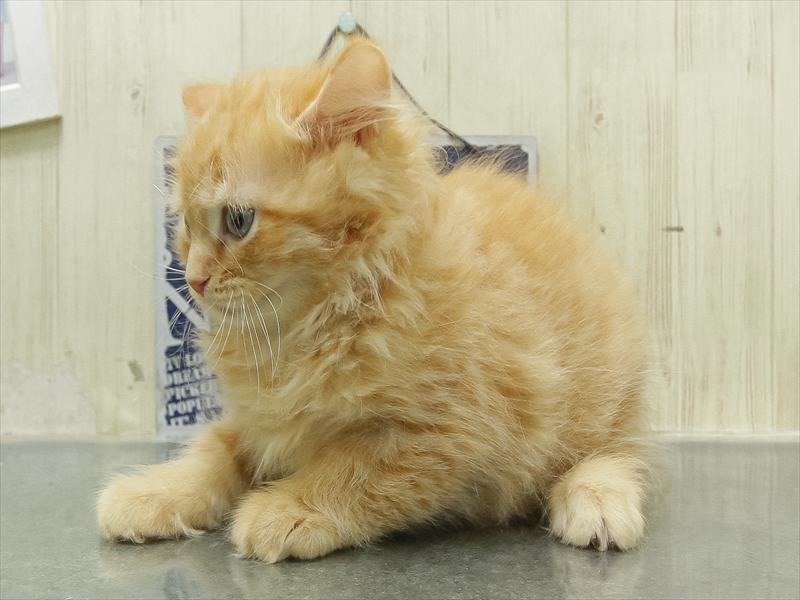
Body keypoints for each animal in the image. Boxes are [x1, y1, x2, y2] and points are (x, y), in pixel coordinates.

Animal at [97, 37, 654, 562]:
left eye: (238, 221)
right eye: (185, 227)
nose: (193, 280)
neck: (311, 324)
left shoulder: (451, 427)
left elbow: (354, 470)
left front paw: (288, 509)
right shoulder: (256, 421)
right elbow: (212, 453)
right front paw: (153, 493)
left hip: (605, 395)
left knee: (616, 453)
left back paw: (598, 506)